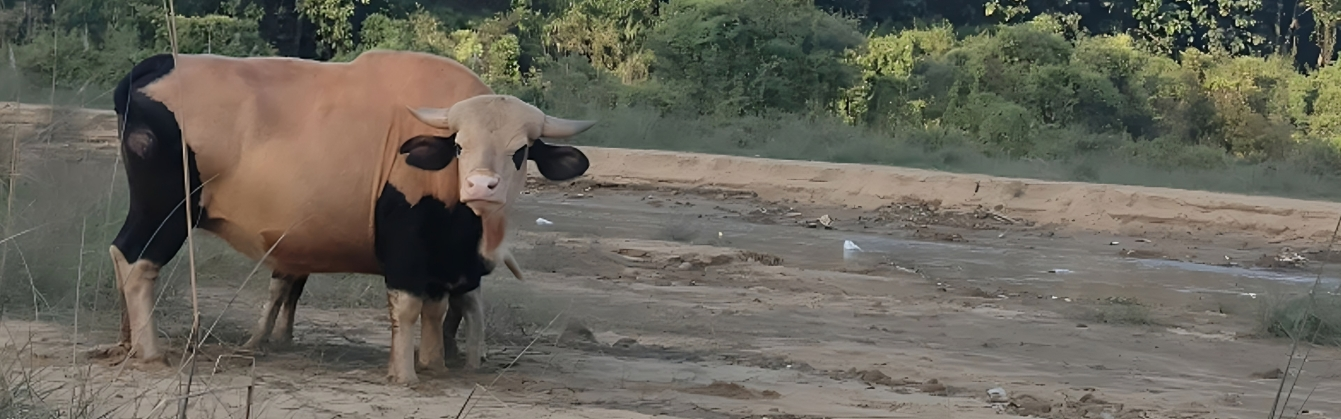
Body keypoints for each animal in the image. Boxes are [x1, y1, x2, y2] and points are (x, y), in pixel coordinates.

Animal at [100, 49, 595, 384]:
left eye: (521, 151)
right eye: (459, 146)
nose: (480, 186)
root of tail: (154, 67)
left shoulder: (442, 261)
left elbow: (436, 310)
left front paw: (434, 364)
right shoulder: (407, 244)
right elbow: (409, 306)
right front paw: (405, 374)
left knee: (123, 258)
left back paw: (127, 341)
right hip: (165, 210)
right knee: (137, 261)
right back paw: (149, 350)